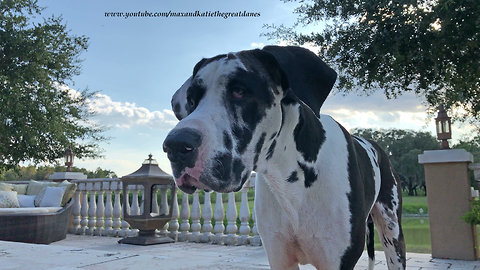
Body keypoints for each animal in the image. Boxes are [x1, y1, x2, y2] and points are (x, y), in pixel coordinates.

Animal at [163, 45, 406, 268]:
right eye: (191, 100)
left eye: (240, 91)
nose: (175, 146)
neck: (289, 180)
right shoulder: (278, 255)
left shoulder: (337, 260)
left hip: (393, 235)